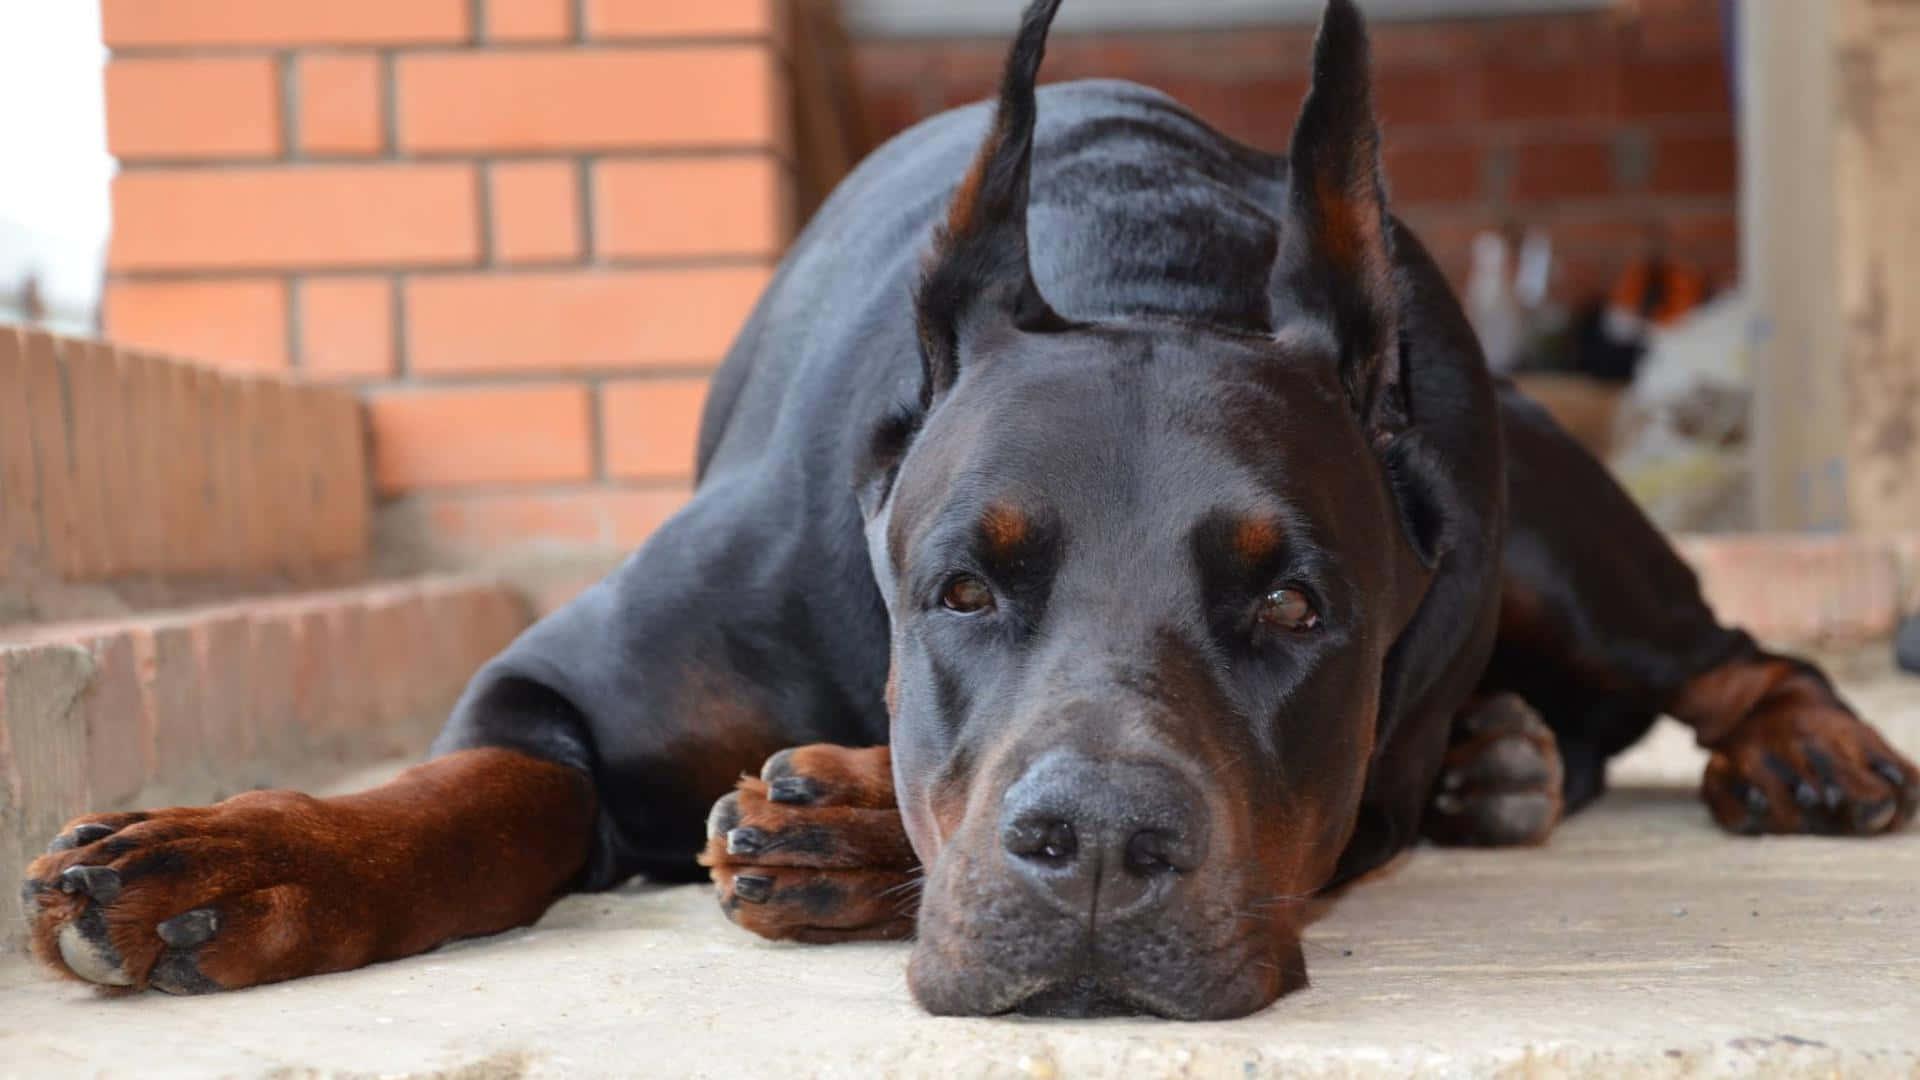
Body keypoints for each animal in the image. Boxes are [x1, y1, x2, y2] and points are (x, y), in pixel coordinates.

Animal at [18, 0, 1920, 1014]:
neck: (1150, 265)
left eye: (1294, 606)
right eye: (961, 587)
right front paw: (238, 860)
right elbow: (481, 794)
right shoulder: (564, 679)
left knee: (1726, 645)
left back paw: (1793, 747)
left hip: (1541, 537)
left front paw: (844, 824)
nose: (1103, 851)